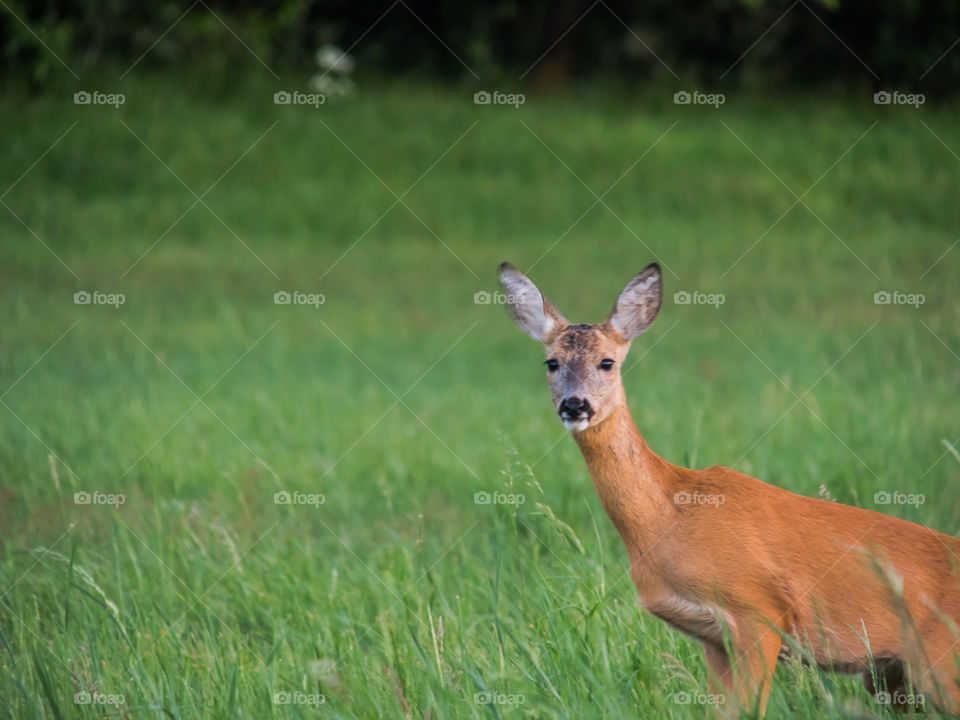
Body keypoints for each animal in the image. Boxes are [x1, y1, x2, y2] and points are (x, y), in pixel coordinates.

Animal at [498, 262, 960, 716]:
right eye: (551, 363)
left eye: (607, 362)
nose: (575, 405)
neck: (667, 516)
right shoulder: (712, 636)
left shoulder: (759, 610)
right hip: (892, 676)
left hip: (939, 663)